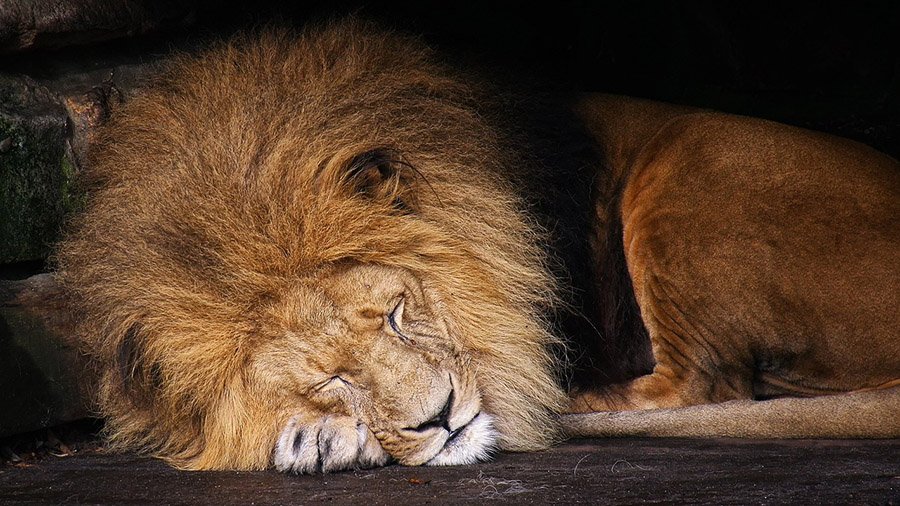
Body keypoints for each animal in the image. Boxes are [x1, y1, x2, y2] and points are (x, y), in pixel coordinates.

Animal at [56, 19, 899, 473]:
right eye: (332, 378)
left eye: (399, 314)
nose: (441, 421)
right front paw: (309, 436)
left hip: (693, 159)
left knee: (704, 386)